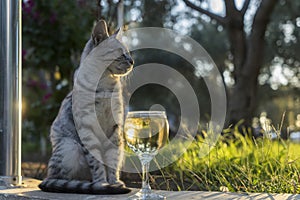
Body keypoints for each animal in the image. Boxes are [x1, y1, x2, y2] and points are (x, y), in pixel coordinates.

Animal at [38, 19, 134, 194]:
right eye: (120, 52)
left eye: (129, 53)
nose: (132, 61)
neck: (106, 85)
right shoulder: (88, 129)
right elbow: (97, 164)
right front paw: (102, 184)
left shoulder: (114, 128)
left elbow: (112, 161)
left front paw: (114, 183)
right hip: (70, 146)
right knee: (61, 178)